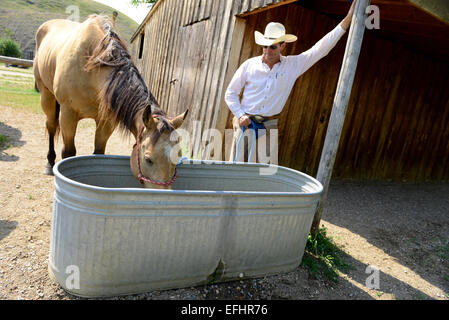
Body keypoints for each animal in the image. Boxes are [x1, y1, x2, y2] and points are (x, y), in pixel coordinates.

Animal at [33, 15, 186, 190]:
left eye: (177, 158)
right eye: (148, 159)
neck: (91, 66)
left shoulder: (106, 122)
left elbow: (99, 153)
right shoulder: (68, 115)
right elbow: (69, 153)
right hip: (47, 96)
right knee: (51, 126)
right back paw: (50, 163)